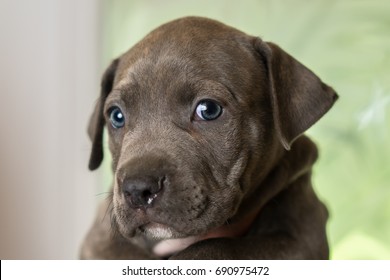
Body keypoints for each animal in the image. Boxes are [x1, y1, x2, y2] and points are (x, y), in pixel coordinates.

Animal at [81, 16, 338, 260]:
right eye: (116, 116)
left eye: (209, 110)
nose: (137, 189)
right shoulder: (99, 240)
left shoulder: (303, 237)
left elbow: (216, 247)